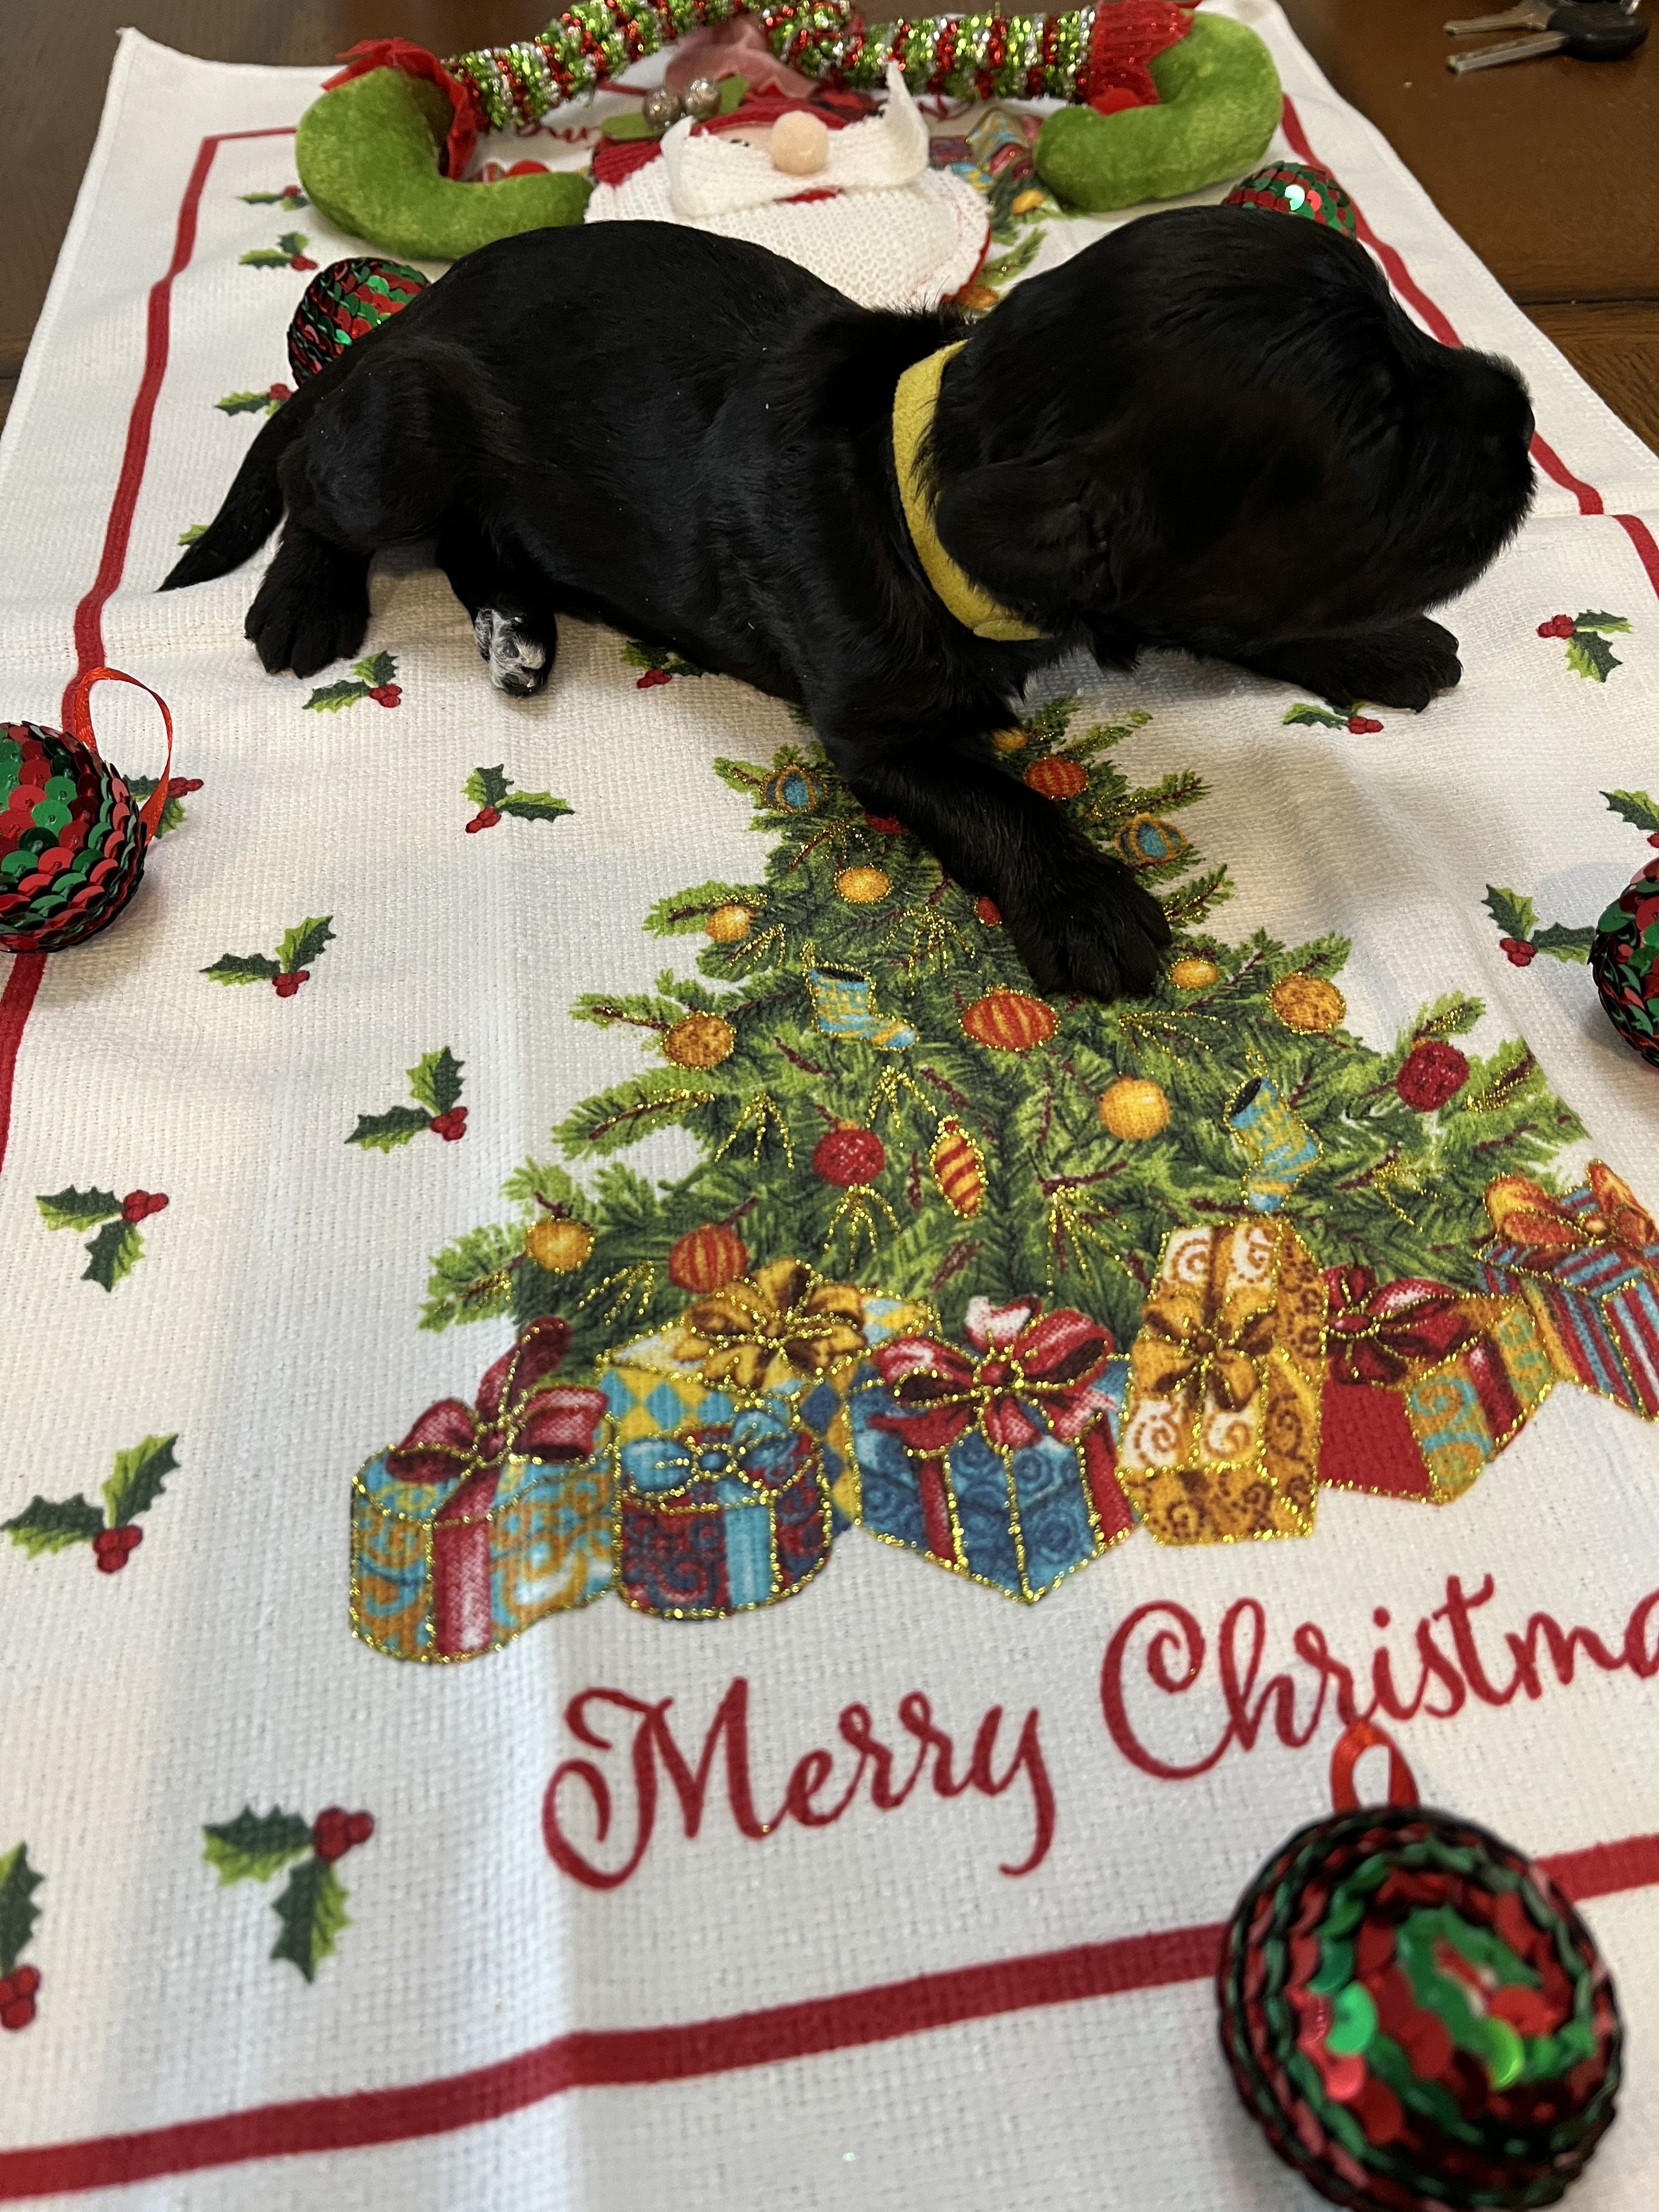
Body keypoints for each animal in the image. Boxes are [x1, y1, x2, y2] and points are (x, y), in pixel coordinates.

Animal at [162, 208, 1535, 1000]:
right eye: (1376, 430)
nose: (1524, 408)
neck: (925, 469)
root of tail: (412, 311)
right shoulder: (878, 731)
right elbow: (999, 795)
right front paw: (1087, 904)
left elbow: (1230, 601)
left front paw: (1378, 644)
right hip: (403, 438)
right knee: (315, 477)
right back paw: (305, 602)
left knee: (475, 540)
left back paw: (519, 629)